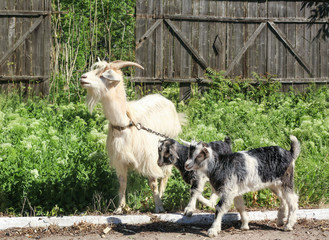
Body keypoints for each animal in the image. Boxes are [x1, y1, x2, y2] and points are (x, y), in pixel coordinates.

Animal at [80, 60, 182, 214]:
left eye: (102, 75)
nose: (82, 77)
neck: (126, 123)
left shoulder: (149, 159)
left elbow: (153, 183)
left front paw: (158, 206)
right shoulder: (120, 160)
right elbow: (122, 184)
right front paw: (120, 208)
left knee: (166, 173)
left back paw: (162, 193)